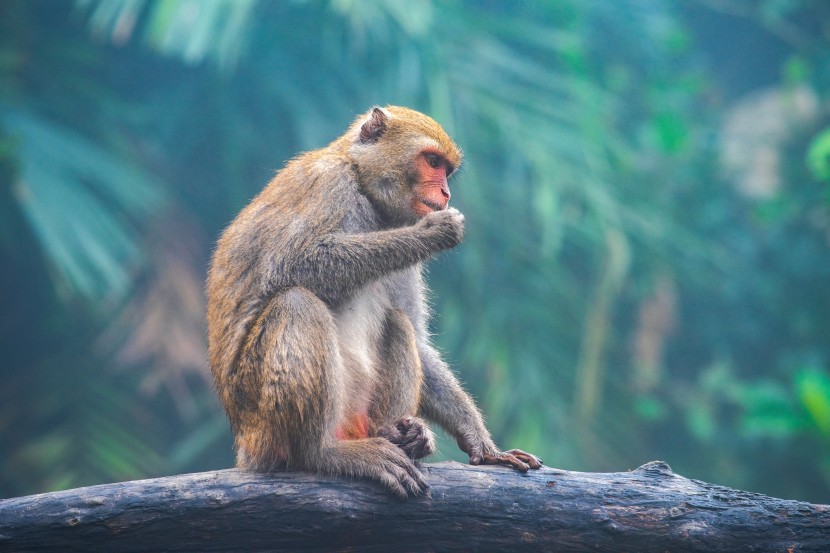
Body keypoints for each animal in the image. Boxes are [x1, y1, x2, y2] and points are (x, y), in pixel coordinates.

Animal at [207, 105, 544, 498]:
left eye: (446, 170)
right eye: (432, 162)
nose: (445, 192)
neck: (365, 188)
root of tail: (245, 443)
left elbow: (418, 339)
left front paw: (481, 443)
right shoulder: (329, 185)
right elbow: (292, 263)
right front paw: (431, 233)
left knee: (397, 322)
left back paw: (399, 436)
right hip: (261, 422)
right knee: (296, 303)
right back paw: (321, 453)